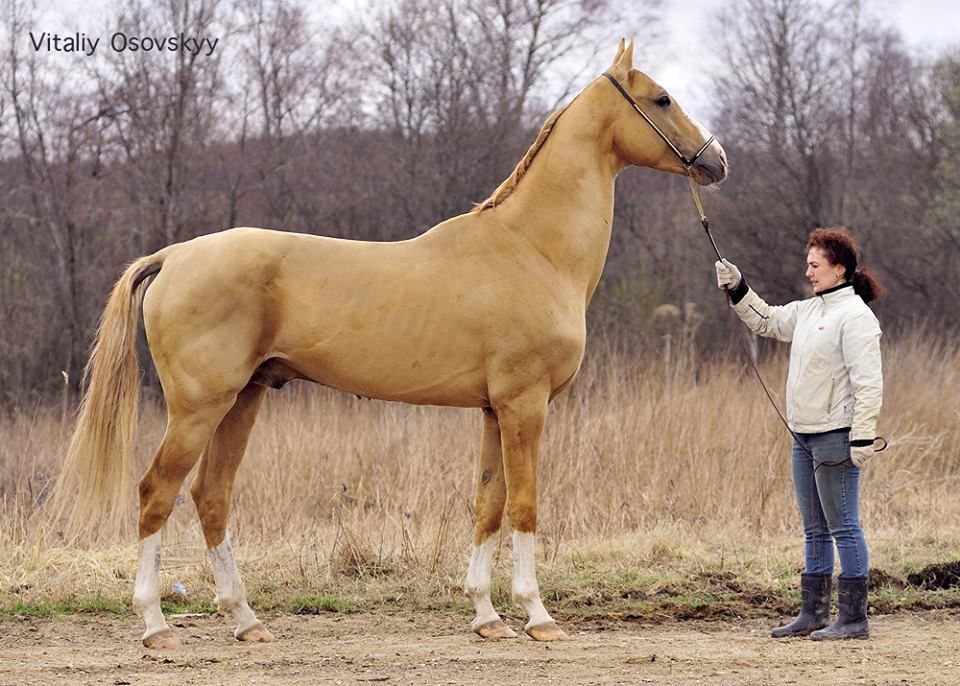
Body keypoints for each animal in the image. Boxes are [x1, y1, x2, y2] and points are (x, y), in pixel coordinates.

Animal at [56, 39, 724, 652]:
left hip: (243, 400)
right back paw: (155, 626)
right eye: (661, 98)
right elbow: (525, 505)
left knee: (210, 496)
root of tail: (172, 257)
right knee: (156, 492)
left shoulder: (494, 410)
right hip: (199, 408)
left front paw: (487, 617)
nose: (716, 162)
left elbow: (488, 504)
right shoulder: (525, 405)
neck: (530, 250)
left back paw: (247, 621)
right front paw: (537, 616)